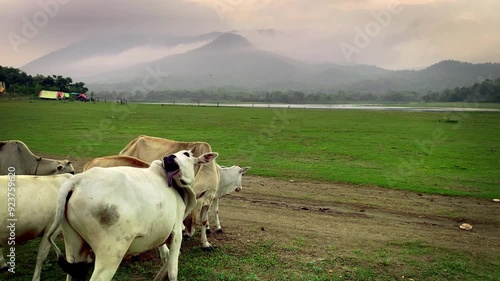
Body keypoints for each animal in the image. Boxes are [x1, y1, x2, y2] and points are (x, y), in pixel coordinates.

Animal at [47, 149, 218, 280]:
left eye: (186, 154)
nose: (168, 158)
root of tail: (77, 181)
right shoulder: (176, 234)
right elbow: (172, 270)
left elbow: (165, 256)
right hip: (110, 254)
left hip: (74, 247)